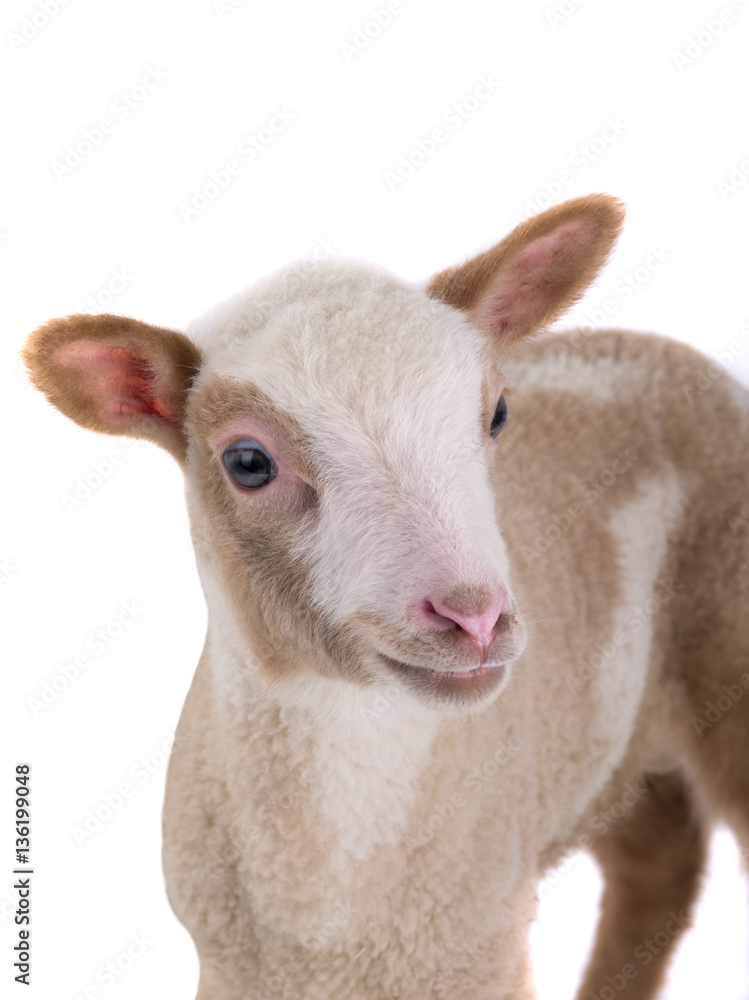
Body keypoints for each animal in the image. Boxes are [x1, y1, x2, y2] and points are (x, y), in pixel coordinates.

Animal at [22, 193, 749, 999]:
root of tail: (671, 355)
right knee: (656, 865)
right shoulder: (231, 962)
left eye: (497, 414)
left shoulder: (478, 947)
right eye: (247, 462)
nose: (473, 616)